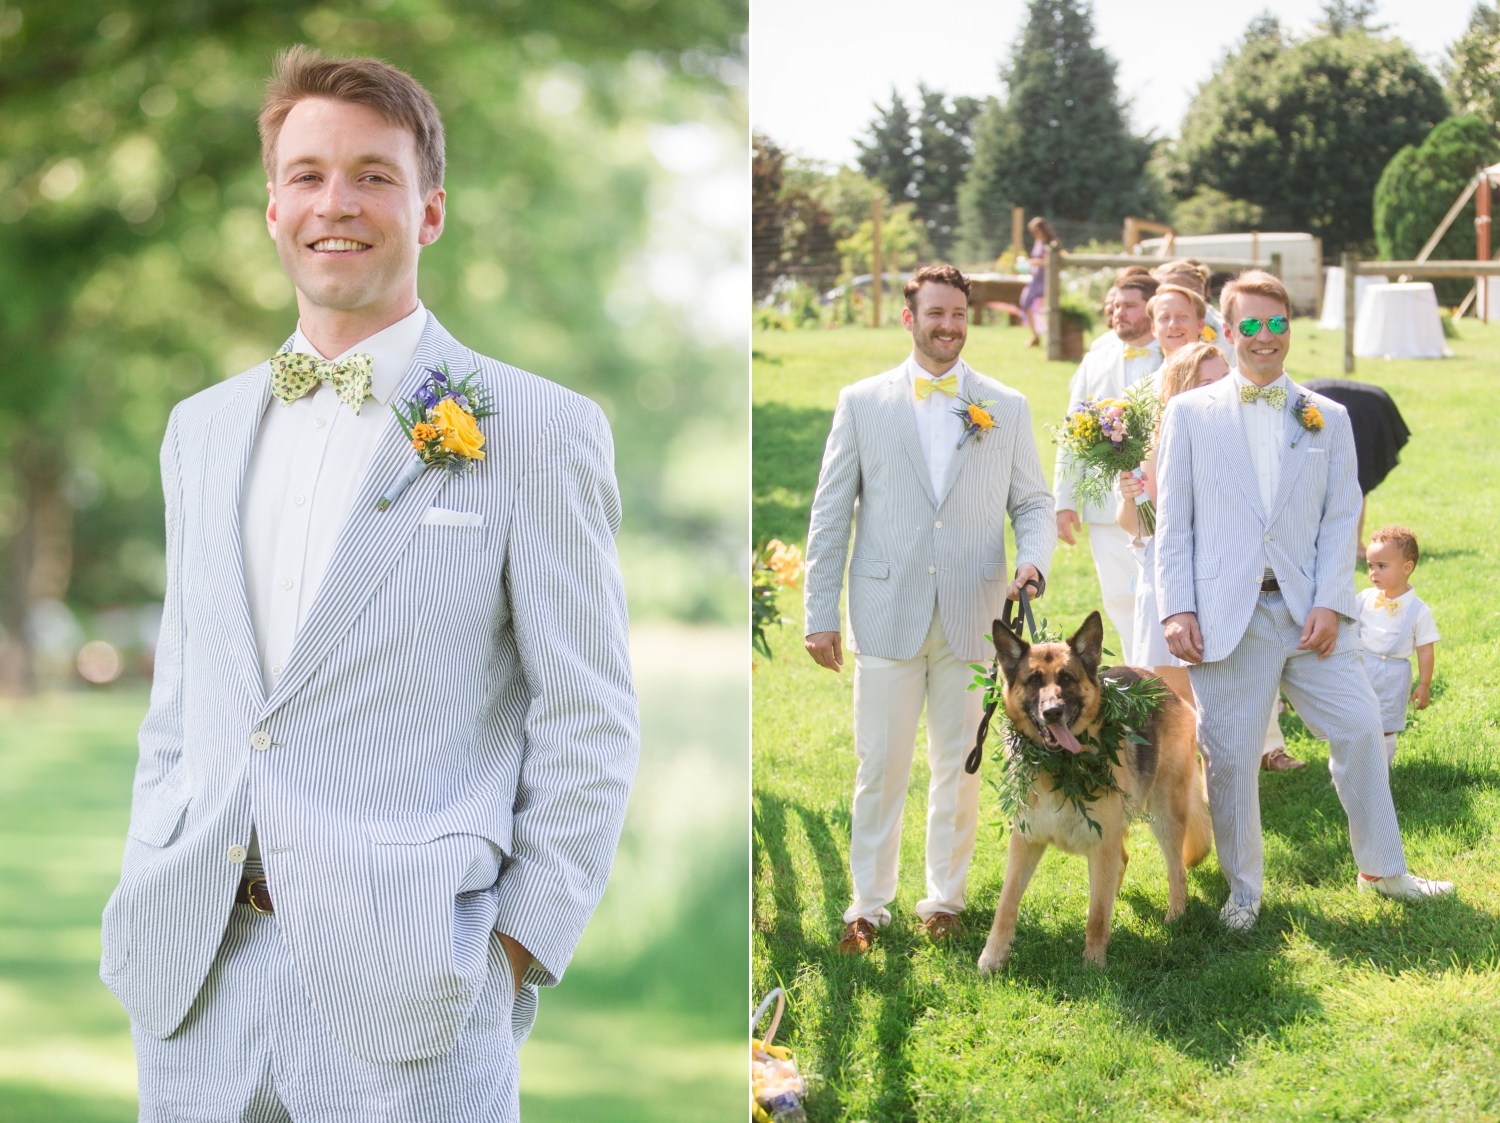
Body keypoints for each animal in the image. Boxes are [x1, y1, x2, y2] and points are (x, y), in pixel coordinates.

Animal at [978, 608, 1212, 965]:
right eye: (1033, 681)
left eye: (1066, 679)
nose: (1053, 713)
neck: (1059, 767)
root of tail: (1163, 686)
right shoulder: (1026, 841)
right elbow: (1006, 903)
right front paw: (993, 956)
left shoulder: (1101, 844)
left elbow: (1099, 914)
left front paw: (1094, 963)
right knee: (1121, 864)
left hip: (1164, 815)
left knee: (1176, 870)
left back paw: (1175, 915)